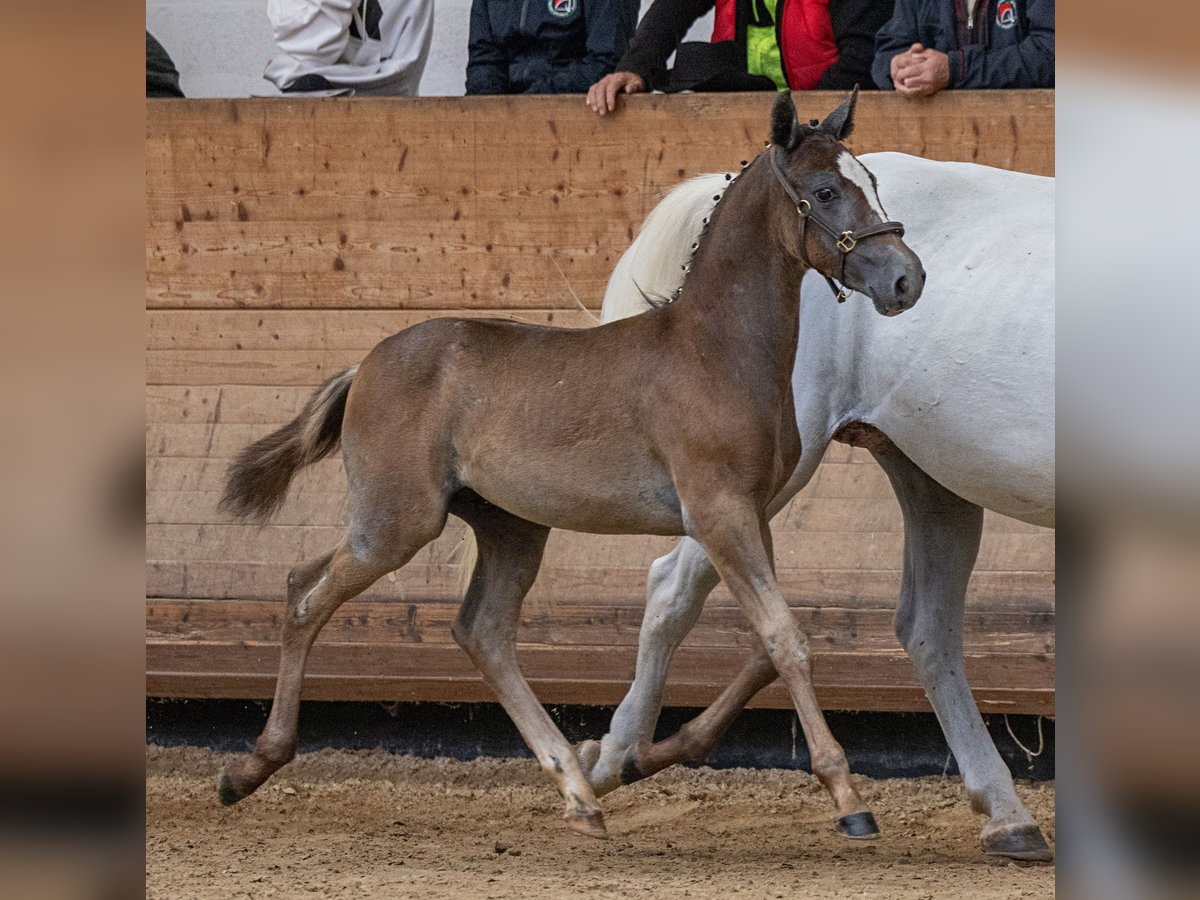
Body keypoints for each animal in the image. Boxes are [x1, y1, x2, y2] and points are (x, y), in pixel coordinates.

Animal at [218, 90, 926, 840]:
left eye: (870, 181)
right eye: (826, 190)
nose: (906, 278)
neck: (714, 351)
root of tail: (364, 366)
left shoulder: (751, 513)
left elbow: (767, 645)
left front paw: (639, 758)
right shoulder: (718, 512)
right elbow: (784, 638)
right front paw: (849, 799)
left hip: (510, 527)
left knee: (482, 632)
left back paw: (579, 791)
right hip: (396, 523)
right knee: (304, 592)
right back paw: (249, 768)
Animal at [576, 154, 1056, 868]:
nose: (904, 280)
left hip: (932, 480)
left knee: (928, 630)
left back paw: (1010, 819)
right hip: (749, 481)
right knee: (671, 589)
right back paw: (612, 760)